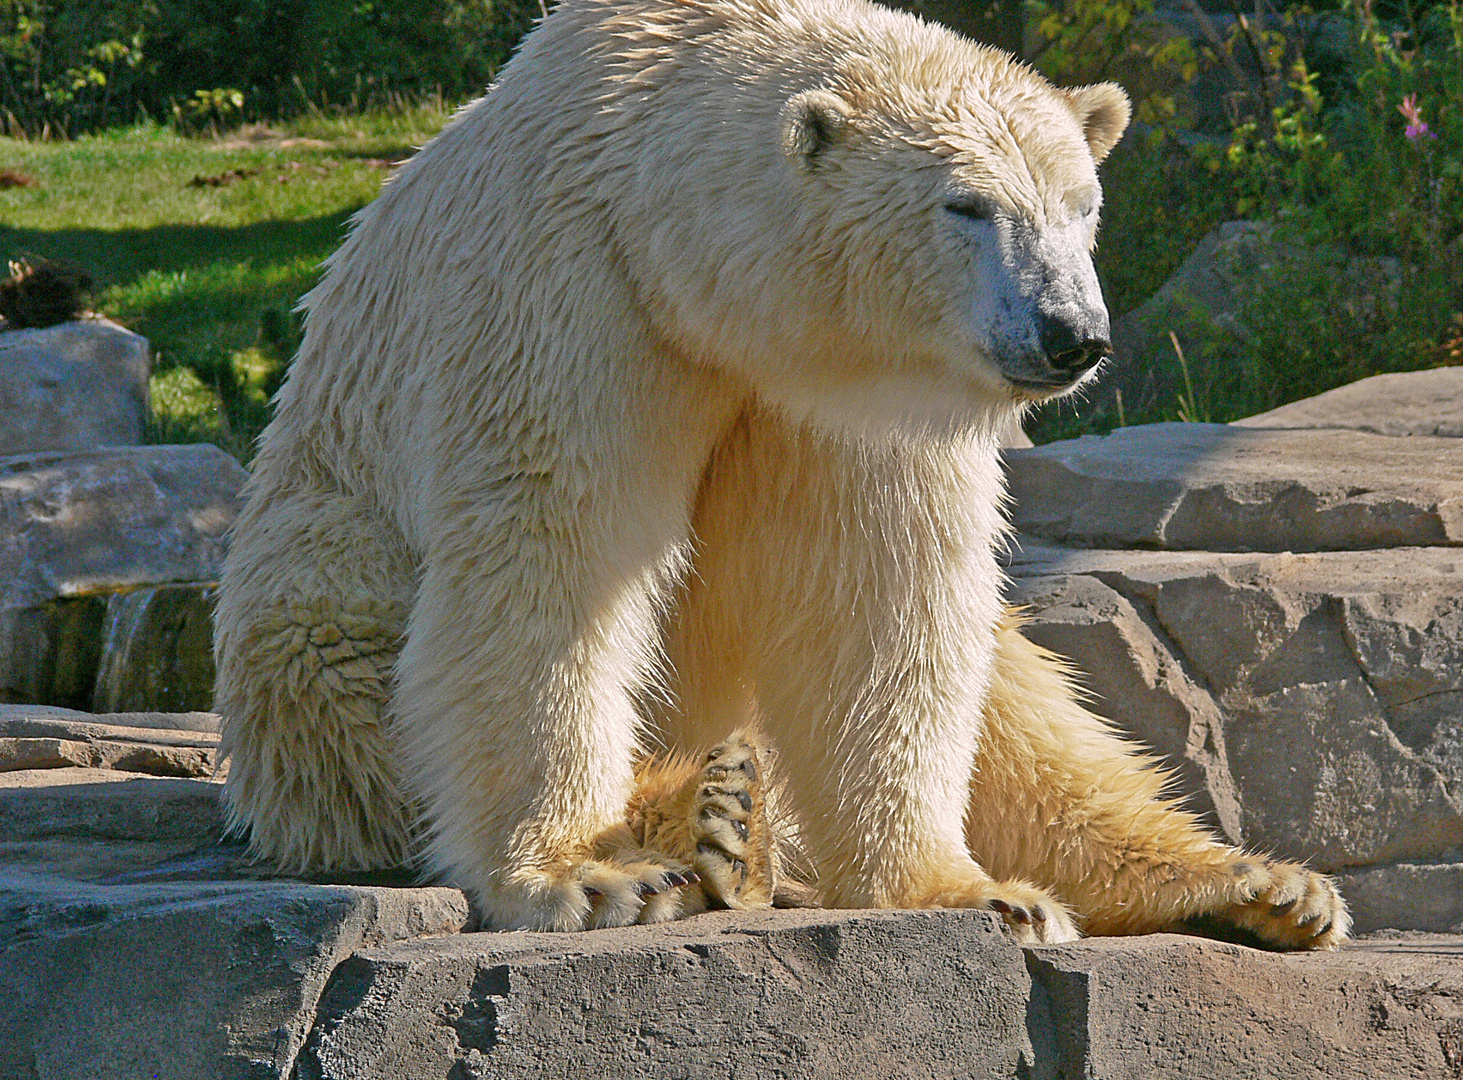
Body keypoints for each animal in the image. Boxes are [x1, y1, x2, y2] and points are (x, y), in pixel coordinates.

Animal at [209, 0, 1345, 942]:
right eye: (966, 206)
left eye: (1079, 205)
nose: (1070, 334)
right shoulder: (567, 291)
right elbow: (552, 555)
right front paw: (578, 874)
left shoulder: (849, 393)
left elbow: (880, 597)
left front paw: (965, 891)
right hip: (311, 574)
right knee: (342, 673)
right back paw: (712, 814)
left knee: (1021, 695)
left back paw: (1253, 885)